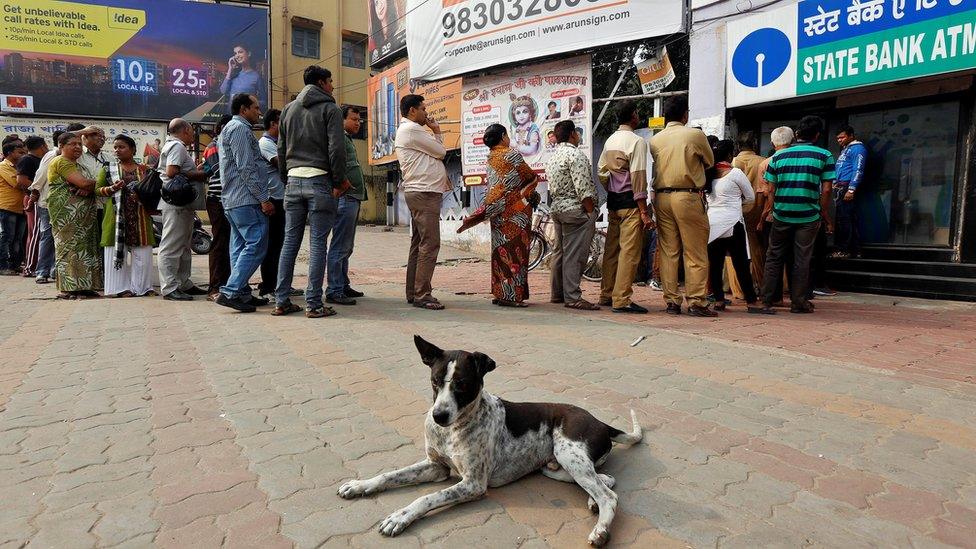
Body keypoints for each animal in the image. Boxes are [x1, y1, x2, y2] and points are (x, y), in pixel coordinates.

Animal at [336, 334, 640, 544]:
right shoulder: (436, 466)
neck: (453, 429)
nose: (438, 416)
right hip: (556, 467)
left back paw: (601, 528)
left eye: (462, 385)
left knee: (609, 495)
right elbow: (389, 475)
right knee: (606, 480)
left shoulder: (472, 483)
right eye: (435, 381)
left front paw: (400, 516)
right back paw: (592, 502)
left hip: (569, 455)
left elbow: (427, 498)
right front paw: (360, 485)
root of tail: (601, 422)